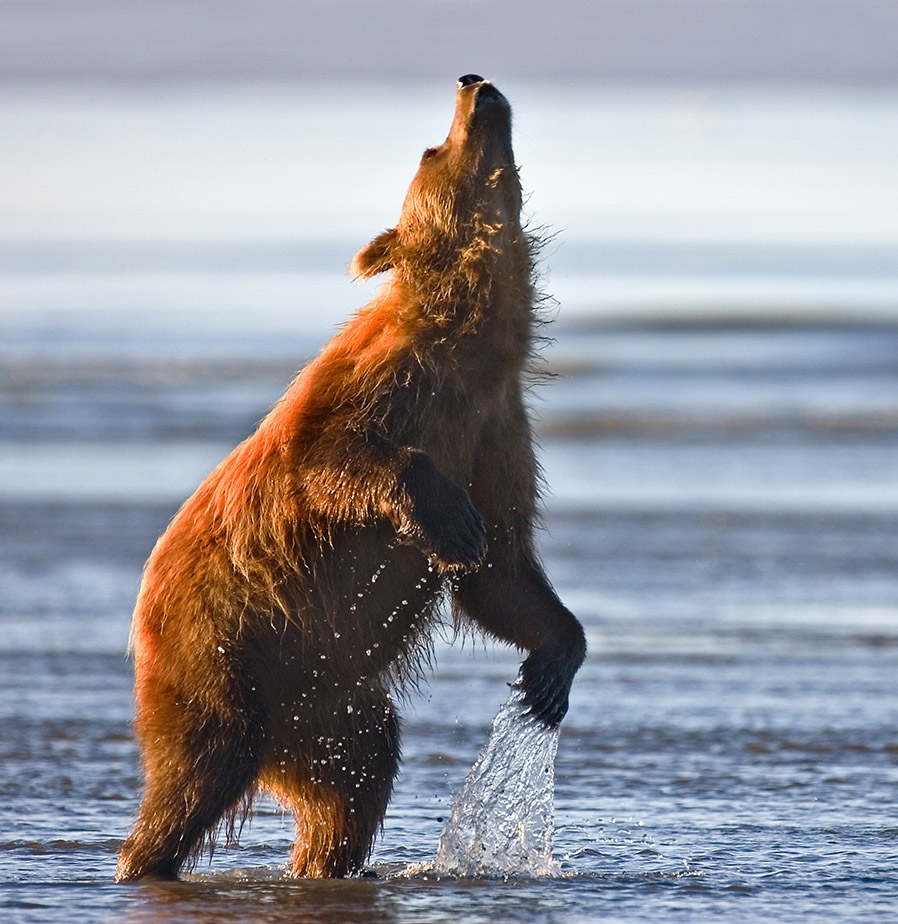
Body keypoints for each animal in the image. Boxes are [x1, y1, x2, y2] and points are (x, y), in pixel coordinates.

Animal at [115, 74, 586, 882]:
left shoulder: (498, 429)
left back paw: (323, 860)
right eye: (431, 149)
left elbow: (503, 569)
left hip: (330, 701)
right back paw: (145, 859)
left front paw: (552, 667)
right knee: (201, 764)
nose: (475, 84)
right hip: (219, 646)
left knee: (355, 779)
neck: (473, 347)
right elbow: (329, 457)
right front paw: (449, 519)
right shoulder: (385, 383)